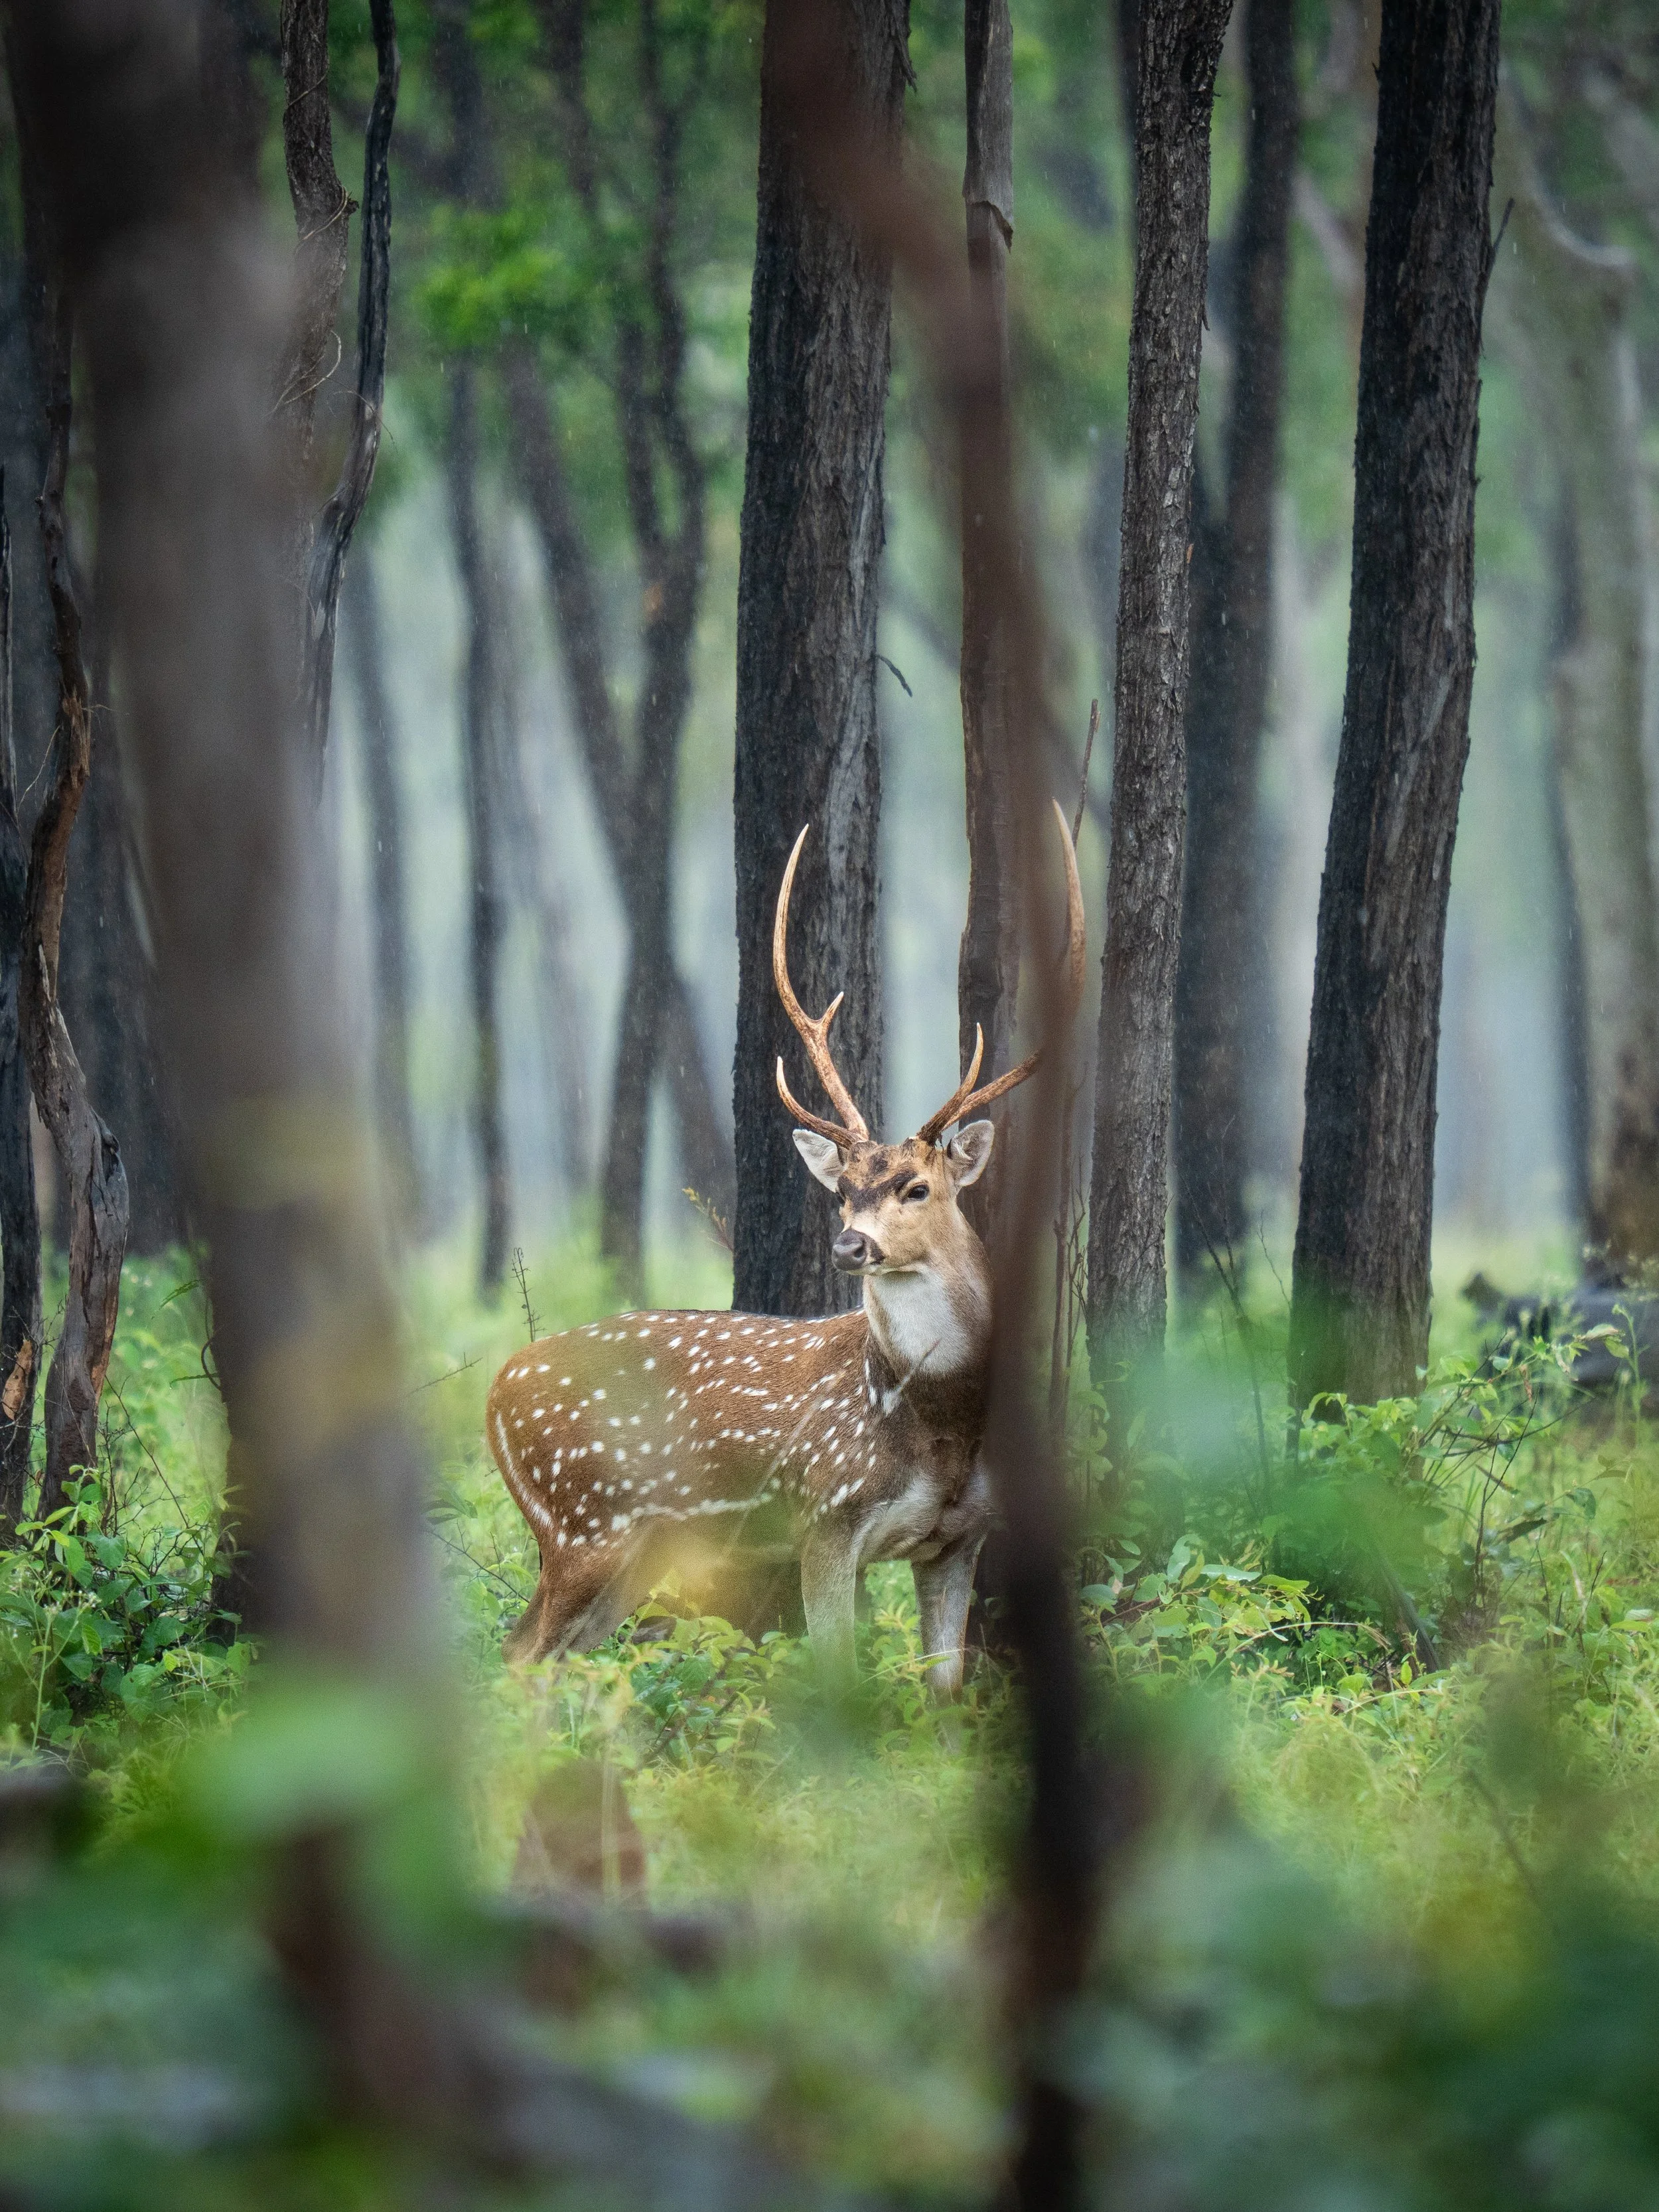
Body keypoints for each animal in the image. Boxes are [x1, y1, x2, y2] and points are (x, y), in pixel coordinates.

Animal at [487, 803, 1085, 1696]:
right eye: (844, 1189)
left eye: (917, 1187)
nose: (848, 1244)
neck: (938, 1431)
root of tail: (494, 1394)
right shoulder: (825, 1518)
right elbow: (841, 1677)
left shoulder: (959, 1538)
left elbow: (943, 1691)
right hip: (584, 1522)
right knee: (517, 1655)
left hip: (631, 1548)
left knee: (552, 1662)